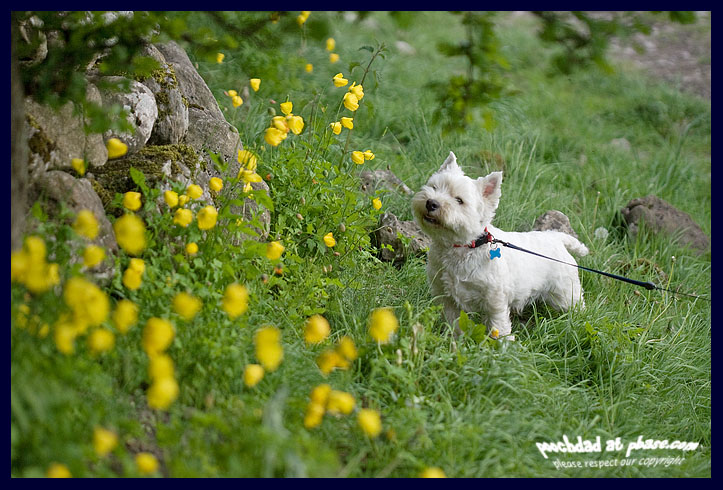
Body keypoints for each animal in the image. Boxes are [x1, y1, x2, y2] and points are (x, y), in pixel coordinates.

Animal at [412, 151, 588, 338]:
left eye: (459, 200)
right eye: (434, 187)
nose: (431, 203)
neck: (464, 246)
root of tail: (556, 237)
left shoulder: (494, 299)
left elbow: (498, 325)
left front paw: (503, 342)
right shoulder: (446, 296)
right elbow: (454, 323)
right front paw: (455, 338)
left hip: (566, 292)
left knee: (578, 306)